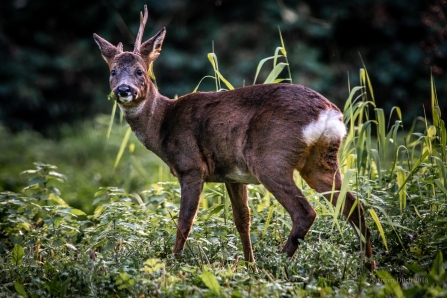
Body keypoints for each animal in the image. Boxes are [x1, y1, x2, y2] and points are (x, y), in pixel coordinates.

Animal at [93, 5, 376, 270]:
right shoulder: (233, 175)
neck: (163, 123)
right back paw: (368, 266)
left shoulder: (191, 166)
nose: (123, 90)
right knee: (355, 207)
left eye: (140, 71)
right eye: (113, 71)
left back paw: (278, 264)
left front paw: (173, 264)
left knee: (305, 212)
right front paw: (249, 266)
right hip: (321, 161)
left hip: (272, 159)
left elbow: (185, 221)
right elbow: (242, 220)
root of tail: (328, 113)